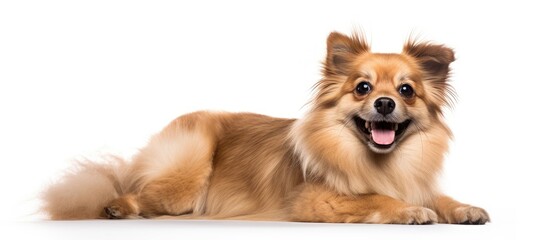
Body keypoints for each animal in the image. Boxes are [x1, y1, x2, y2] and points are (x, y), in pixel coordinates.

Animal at [42, 31, 488, 224]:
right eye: (363, 88)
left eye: (406, 91)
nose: (384, 103)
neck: (384, 161)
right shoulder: (315, 200)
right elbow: (376, 198)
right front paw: (409, 211)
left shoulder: (418, 182)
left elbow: (439, 197)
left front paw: (462, 208)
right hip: (187, 170)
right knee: (140, 192)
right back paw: (118, 206)